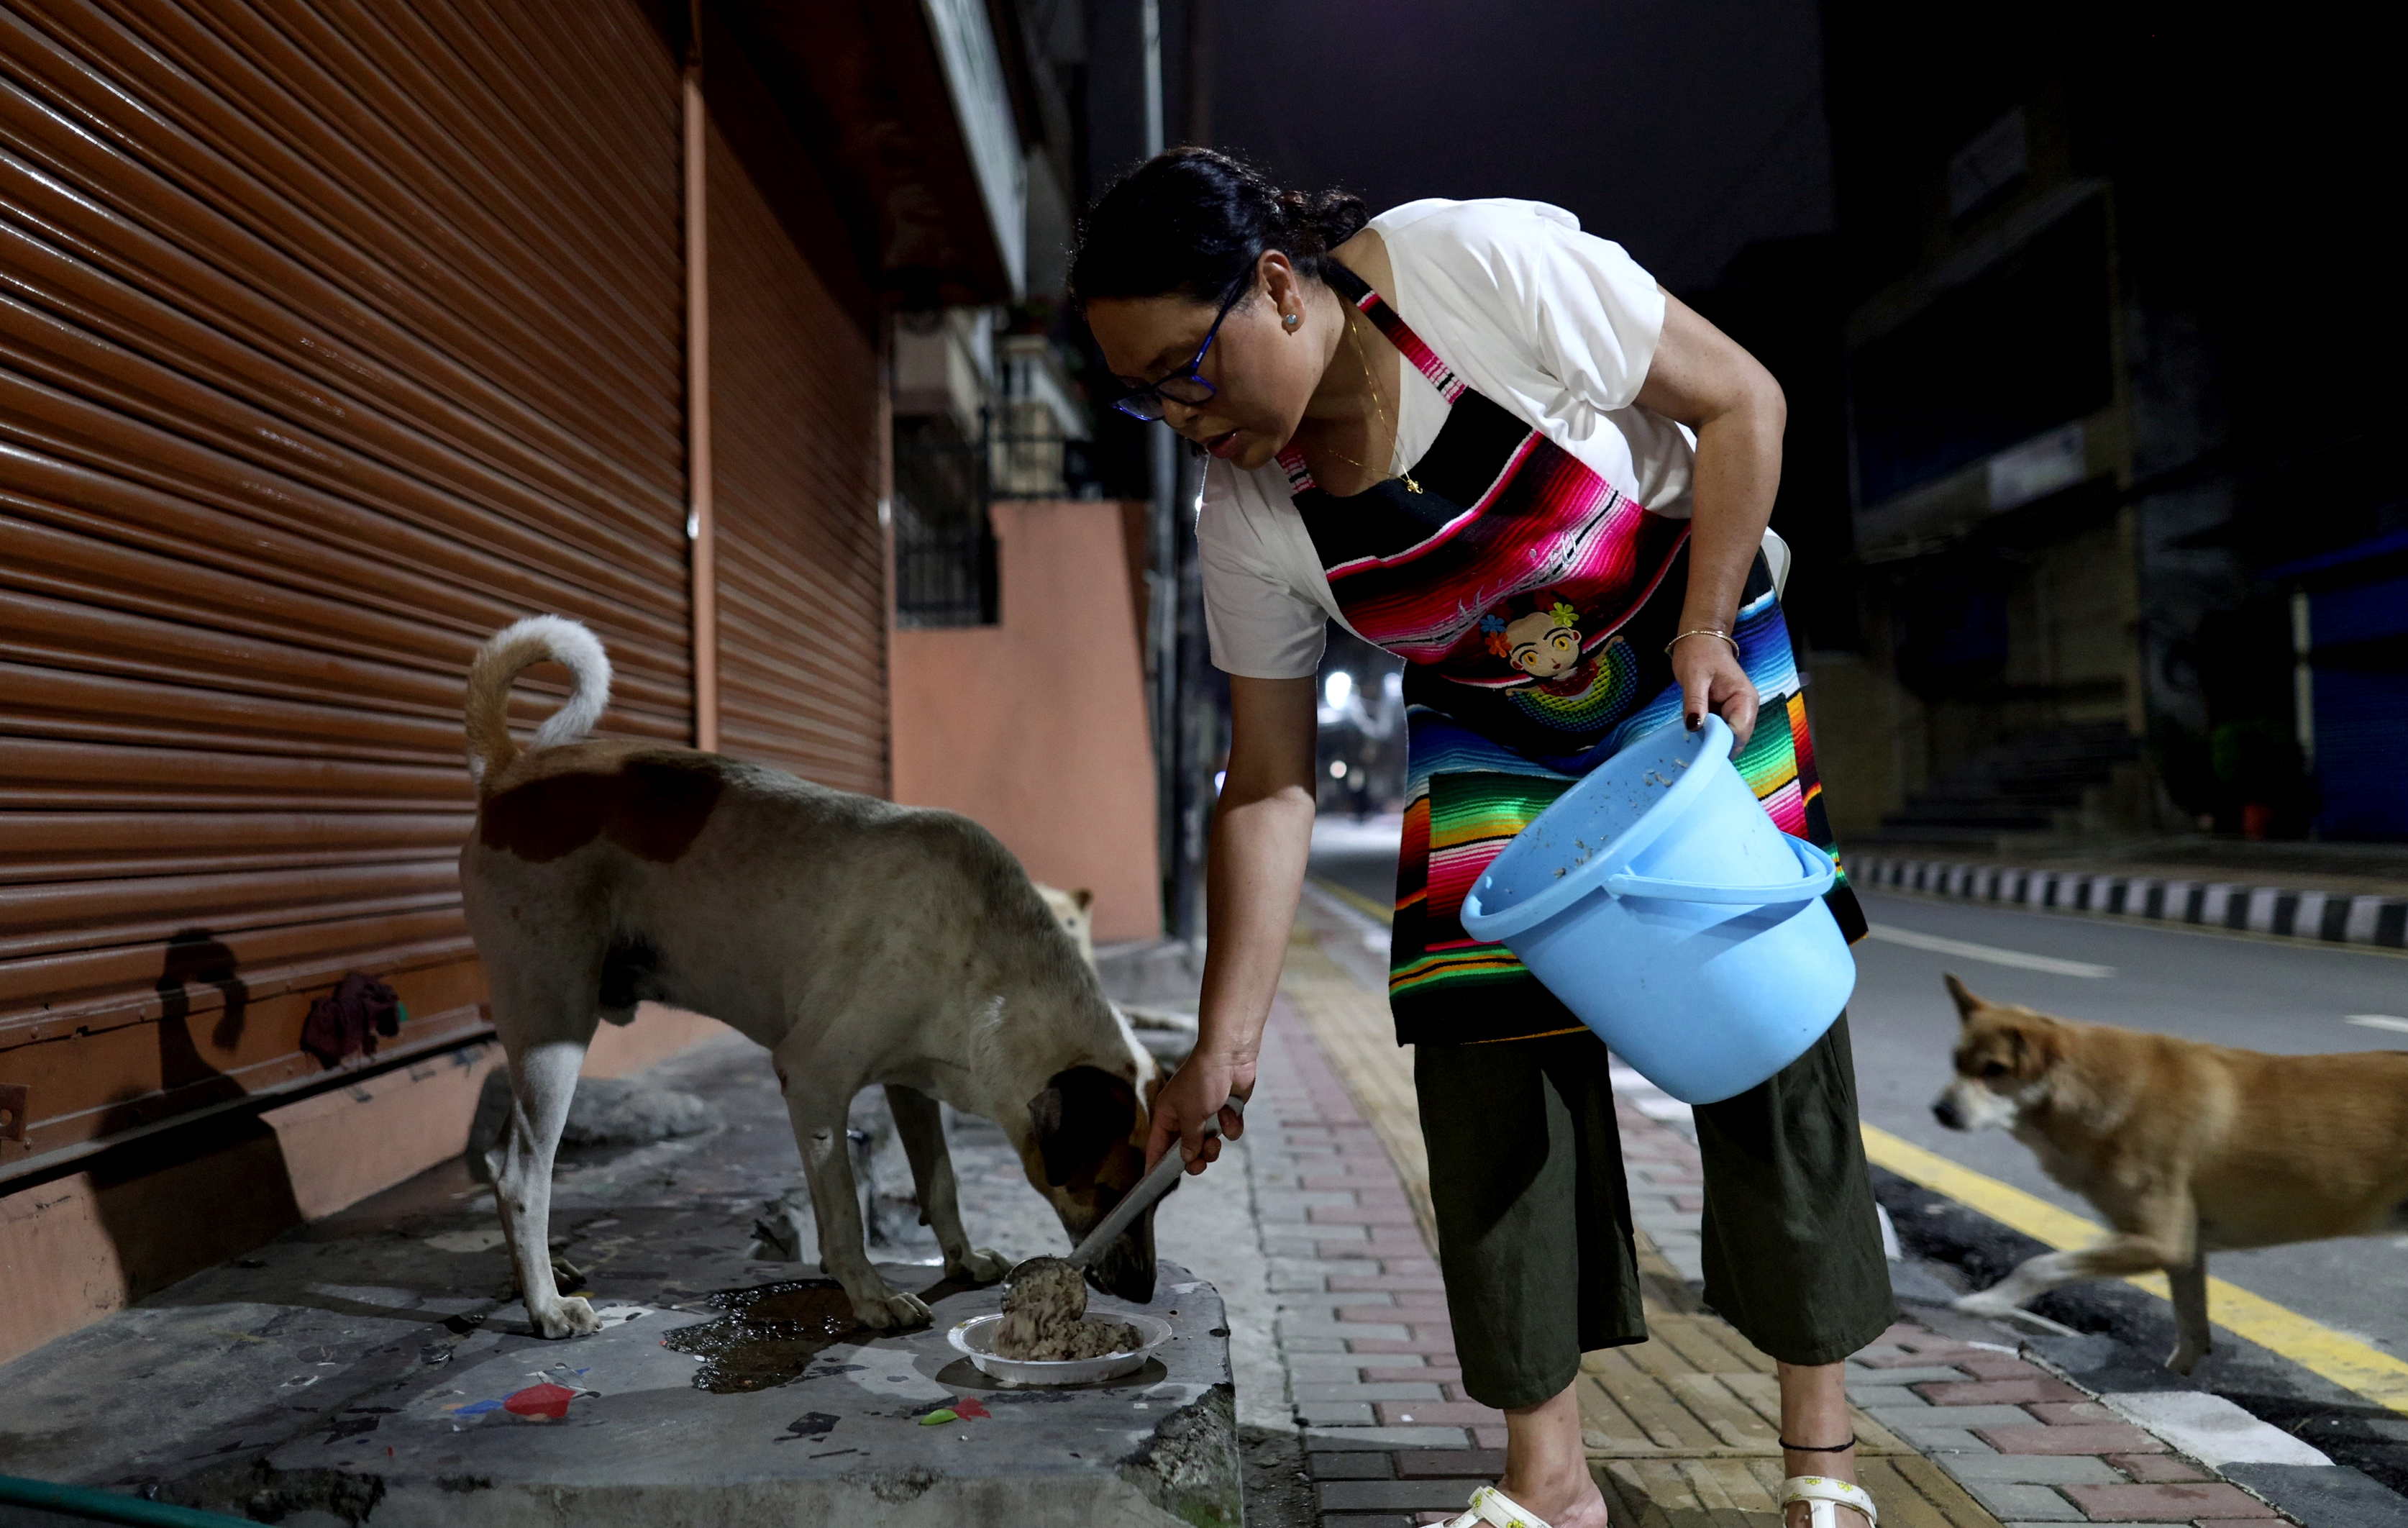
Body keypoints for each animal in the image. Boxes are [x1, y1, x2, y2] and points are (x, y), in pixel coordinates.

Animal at [462, 617, 1165, 1330]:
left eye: (1159, 1195)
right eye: (1107, 1188)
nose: (1144, 1291)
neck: (989, 960)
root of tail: (509, 771)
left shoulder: (910, 1087)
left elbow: (940, 1182)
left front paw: (961, 1259)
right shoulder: (813, 1081)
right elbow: (846, 1213)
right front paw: (871, 1295)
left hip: (542, 1035)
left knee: (499, 1158)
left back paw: (539, 1273)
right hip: (554, 1023)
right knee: (521, 1174)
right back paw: (547, 1305)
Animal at [1926, 973, 2408, 1368]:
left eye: (1996, 1070)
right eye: (1955, 1061)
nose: (1940, 1112)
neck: (2087, 1092)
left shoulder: (2158, 1241)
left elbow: (2040, 1265)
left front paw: (1987, 1302)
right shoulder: (2184, 1252)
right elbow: (2192, 1331)